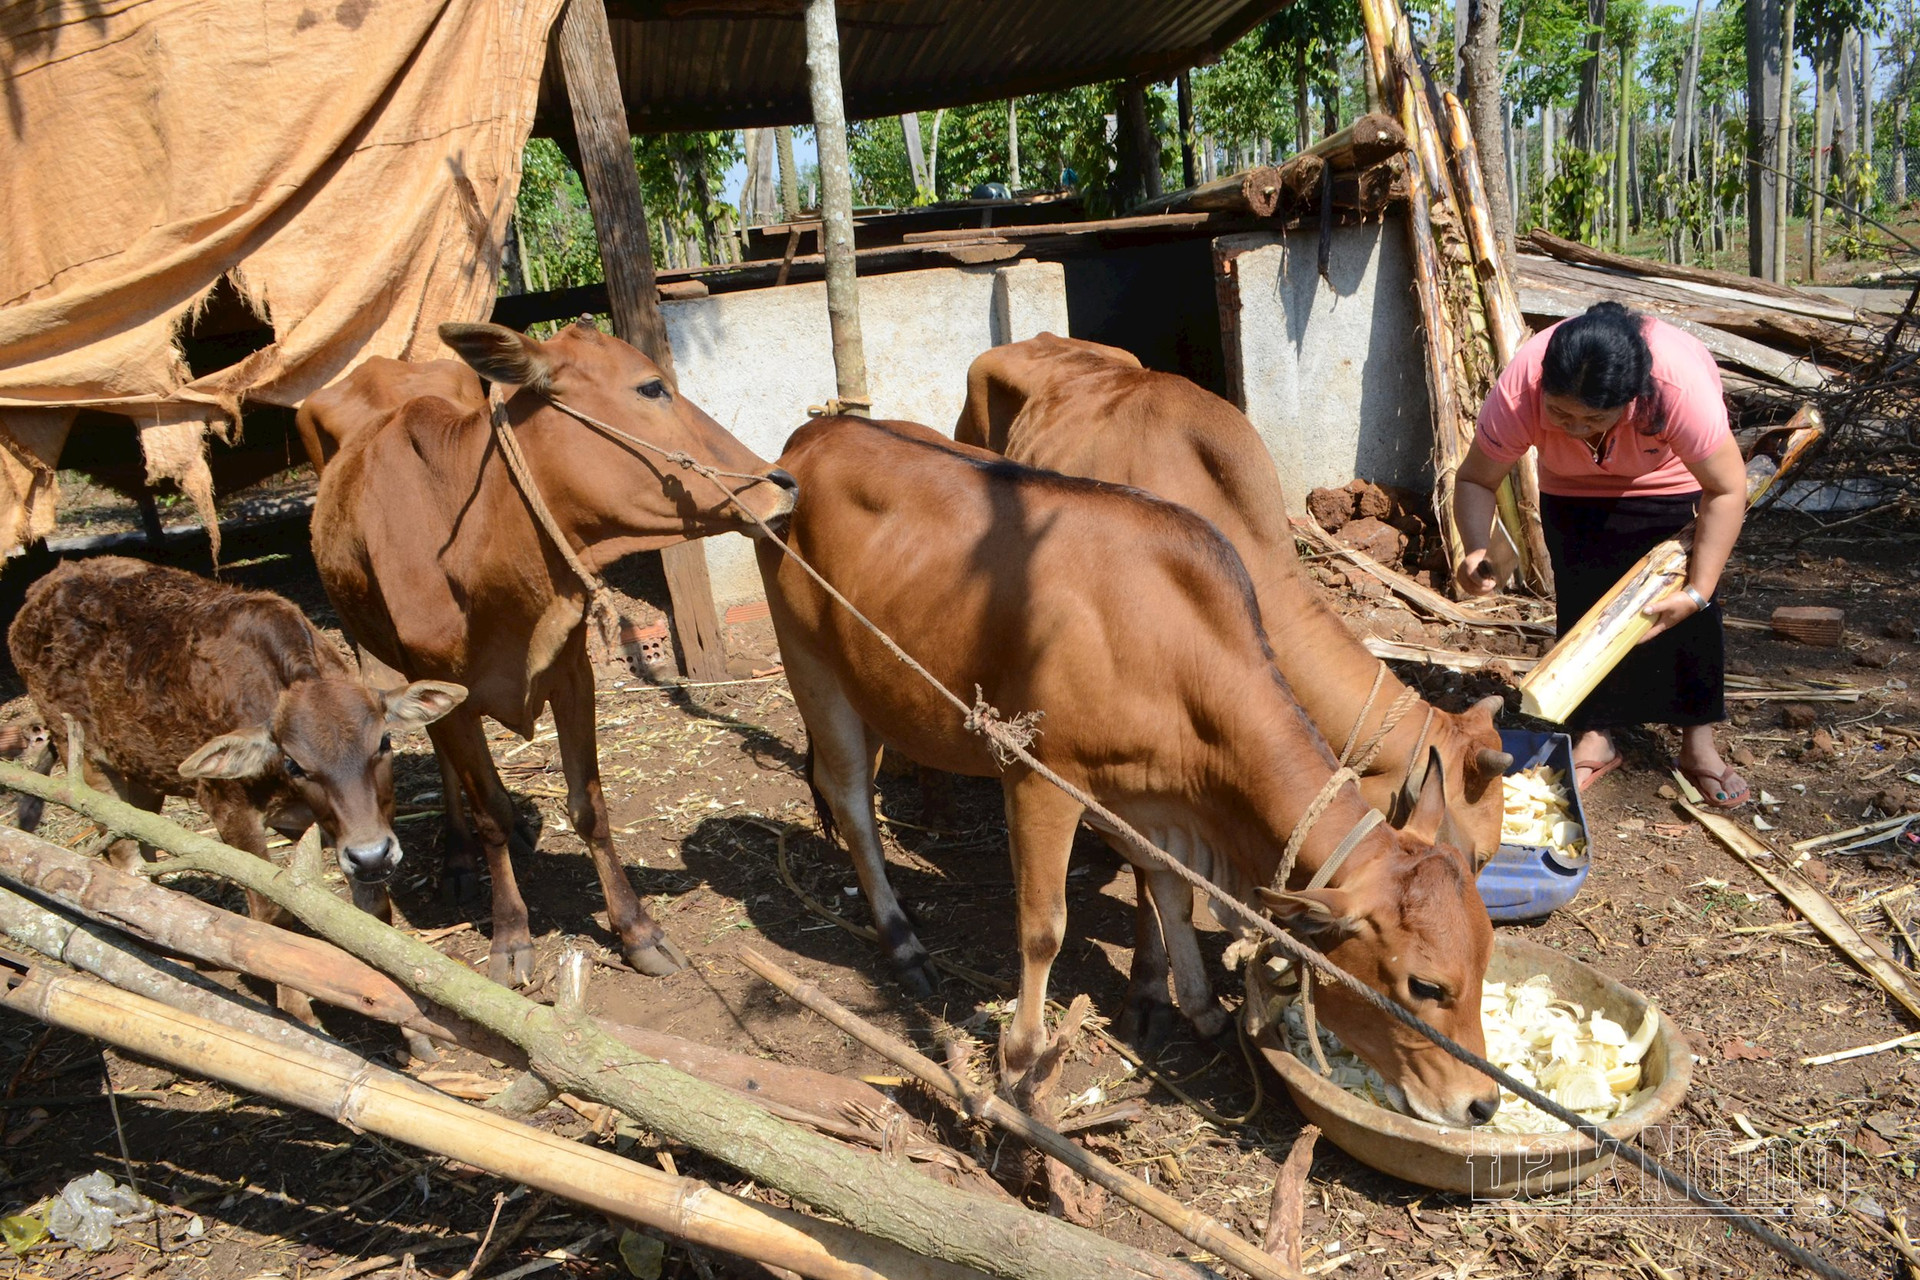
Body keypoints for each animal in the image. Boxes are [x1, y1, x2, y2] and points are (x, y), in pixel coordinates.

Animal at [11, 556, 464, 1013]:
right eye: (294, 763)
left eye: (384, 742)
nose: (371, 856)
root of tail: (43, 586)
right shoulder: (231, 812)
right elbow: (272, 916)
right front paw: (298, 1012)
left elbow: (374, 913)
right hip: (82, 755)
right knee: (125, 856)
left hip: (140, 774)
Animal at [314, 326, 794, 990]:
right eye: (652, 387)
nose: (783, 482)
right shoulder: (450, 692)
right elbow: (488, 810)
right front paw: (511, 936)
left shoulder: (572, 673)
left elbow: (589, 805)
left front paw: (638, 931)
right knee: (448, 767)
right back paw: (458, 858)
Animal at [760, 416, 1497, 1128]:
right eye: (1425, 986)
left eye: (1486, 956)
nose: (1482, 1103)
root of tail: (815, 436)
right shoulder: (1042, 779)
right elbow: (1044, 926)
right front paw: (1021, 1055)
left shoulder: (1147, 799)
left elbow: (1170, 892)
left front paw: (1200, 1008)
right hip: (810, 664)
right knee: (851, 803)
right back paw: (903, 942)